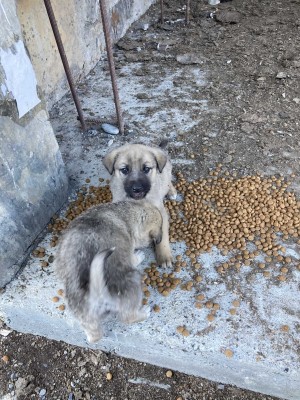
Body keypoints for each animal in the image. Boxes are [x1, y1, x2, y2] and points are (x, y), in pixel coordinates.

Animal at [53, 202, 162, 342]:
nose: (157, 241)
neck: (124, 215)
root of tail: (96, 295)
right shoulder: (129, 251)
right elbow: (134, 258)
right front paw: (139, 255)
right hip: (133, 281)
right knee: (128, 317)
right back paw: (144, 312)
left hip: (85, 317)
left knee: (95, 337)